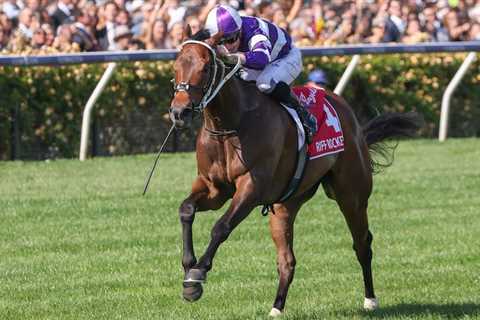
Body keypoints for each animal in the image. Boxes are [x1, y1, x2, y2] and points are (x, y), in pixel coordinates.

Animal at [167, 28, 422, 318]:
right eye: (176, 66)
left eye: (206, 67)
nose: (179, 112)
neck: (231, 124)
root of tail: (349, 115)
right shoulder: (213, 188)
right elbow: (186, 210)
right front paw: (188, 266)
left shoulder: (252, 187)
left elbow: (221, 227)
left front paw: (197, 275)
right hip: (285, 205)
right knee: (287, 260)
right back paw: (276, 307)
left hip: (352, 196)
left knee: (362, 244)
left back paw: (370, 299)